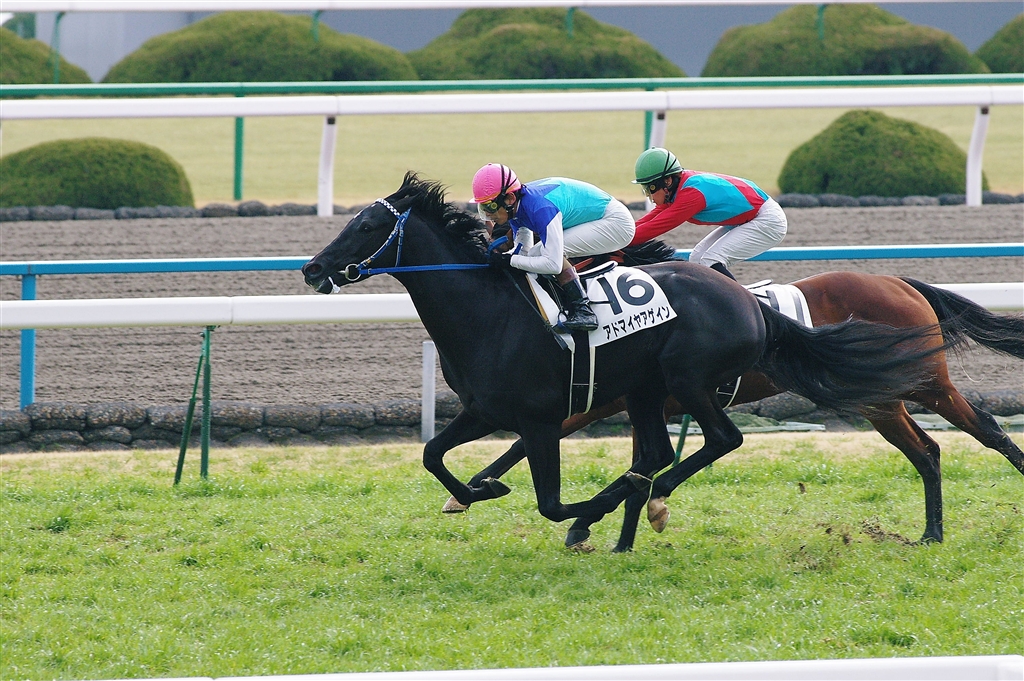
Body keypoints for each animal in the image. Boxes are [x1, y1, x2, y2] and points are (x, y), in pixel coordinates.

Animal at [302, 172, 950, 546]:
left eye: (367, 224)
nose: (311, 269)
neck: (490, 313)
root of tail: (750, 303)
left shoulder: (542, 418)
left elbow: (550, 502)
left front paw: (583, 515)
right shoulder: (484, 410)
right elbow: (434, 454)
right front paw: (477, 492)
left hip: (689, 379)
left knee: (720, 440)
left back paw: (644, 501)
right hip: (646, 390)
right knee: (664, 451)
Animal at [444, 271, 1024, 551]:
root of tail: (901, 283)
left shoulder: (601, 402)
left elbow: (537, 442)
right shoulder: (627, 401)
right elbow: (628, 466)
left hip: (925, 383)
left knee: (986, 428)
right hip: (880, 398)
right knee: (927, 450)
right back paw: (931, 533)